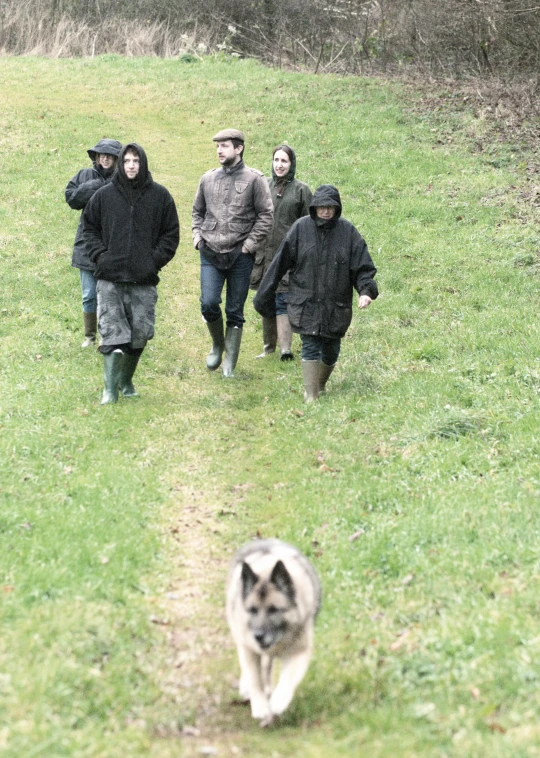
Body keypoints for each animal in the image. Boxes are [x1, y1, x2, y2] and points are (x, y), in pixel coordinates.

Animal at [225, 540, 320, 732]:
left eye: (274, 609)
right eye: (252, 610)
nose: (259, 636)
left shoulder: (299, 652)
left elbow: (287, 680)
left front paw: (277, 702)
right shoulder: (248, 649)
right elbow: (254, 678)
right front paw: (261, 707)